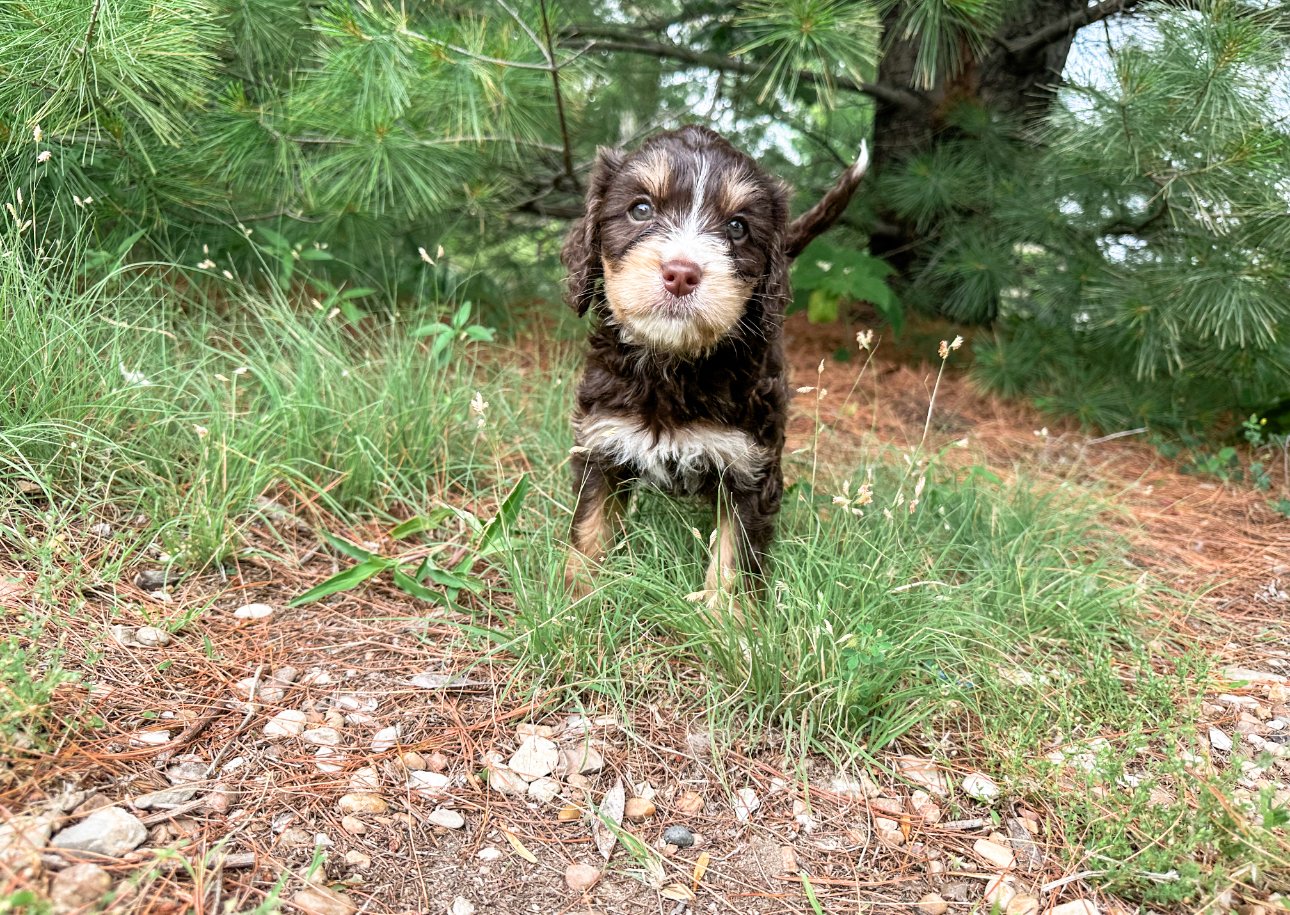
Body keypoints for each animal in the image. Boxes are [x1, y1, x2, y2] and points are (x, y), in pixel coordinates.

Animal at [562, 121, 866, 606]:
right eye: (640, 209)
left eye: (737, 227)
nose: (681, 273)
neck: (675, 366)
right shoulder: (601, 439)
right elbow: (591, 522)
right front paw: (576, 597)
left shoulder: (749, 464)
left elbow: (734, 556)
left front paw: (727, 620)